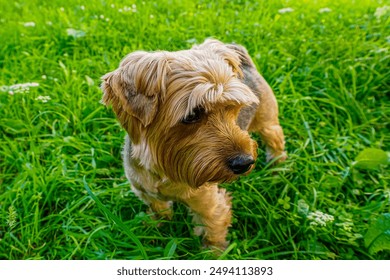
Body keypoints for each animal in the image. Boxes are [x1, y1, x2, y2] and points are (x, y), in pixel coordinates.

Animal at [100, 39, 286, 252]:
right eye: (192, 115)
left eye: (234, 108)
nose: (245, 162)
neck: (166, 167)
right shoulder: (144, 190)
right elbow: (158, 211)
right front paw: (158, 229)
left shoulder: (207, 201)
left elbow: (213, 228)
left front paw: (214, 252)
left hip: (266, 118)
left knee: (275, 137)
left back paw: (277, 165)